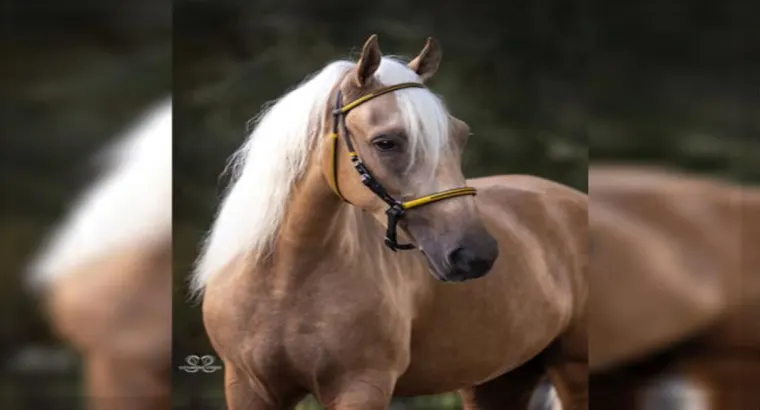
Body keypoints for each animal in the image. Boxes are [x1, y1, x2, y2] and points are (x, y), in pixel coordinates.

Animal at [192, 35, 588, 410]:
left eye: (460, 136)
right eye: (386, 143)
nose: (475, 254)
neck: (283, 281)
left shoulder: (362, 387)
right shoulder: (249, 388)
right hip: (499, 381)